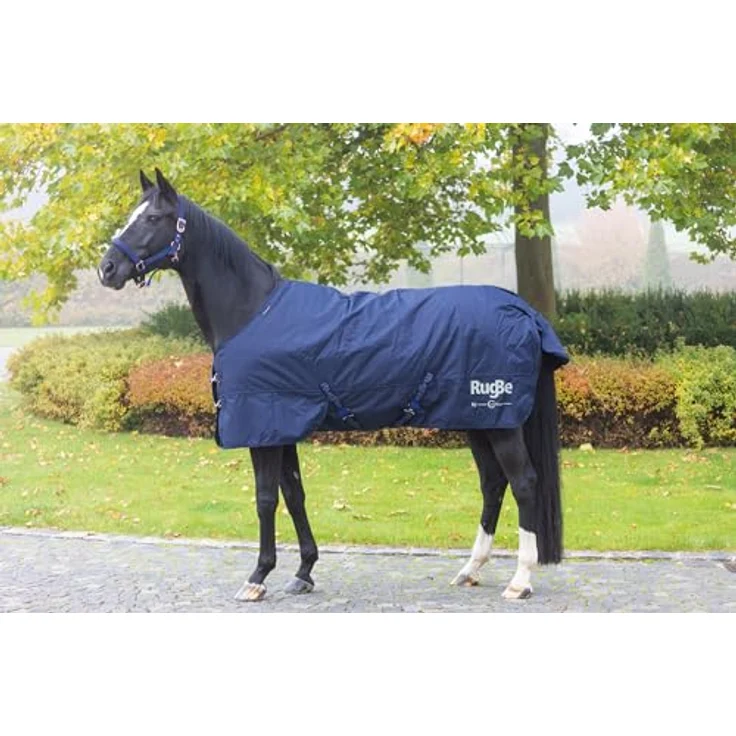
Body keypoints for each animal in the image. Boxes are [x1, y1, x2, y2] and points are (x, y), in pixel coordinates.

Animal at [98, 168, 569, 603]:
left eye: (153, 217)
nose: (107, 269)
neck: (252, 311)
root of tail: (523, 311)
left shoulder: (262, 426)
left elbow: (265, 498)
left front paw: (258, 577)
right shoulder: (280, 427)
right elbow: (294, 494)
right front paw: (303, 571)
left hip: (500, 421)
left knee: (523, 482)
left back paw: (520, 581)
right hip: (478, 420)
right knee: (493, 483)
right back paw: (470, 569)